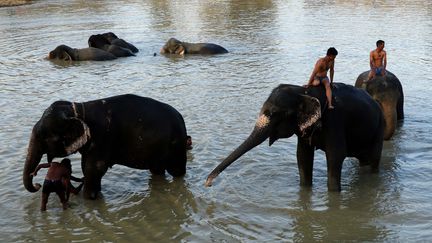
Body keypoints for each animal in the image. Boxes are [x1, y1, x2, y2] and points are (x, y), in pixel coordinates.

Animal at [23, 94, 189, 198]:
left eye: (44, 137)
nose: (37, 184)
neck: (78, 110)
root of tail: (181, 118)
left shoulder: (101, 138)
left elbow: (93, 169)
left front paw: (89, 199)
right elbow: (87, 168)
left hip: (176, 146)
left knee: (177, 171)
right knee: (157, 171)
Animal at [206, 83, 384, 192]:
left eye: (277, 114)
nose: (208, 183)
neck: (303, 91)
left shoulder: (335, 122)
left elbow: (335, 156)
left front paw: (334, 193)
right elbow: (302, 156)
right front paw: (305, 189)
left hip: (380, 128)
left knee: (374, 159)